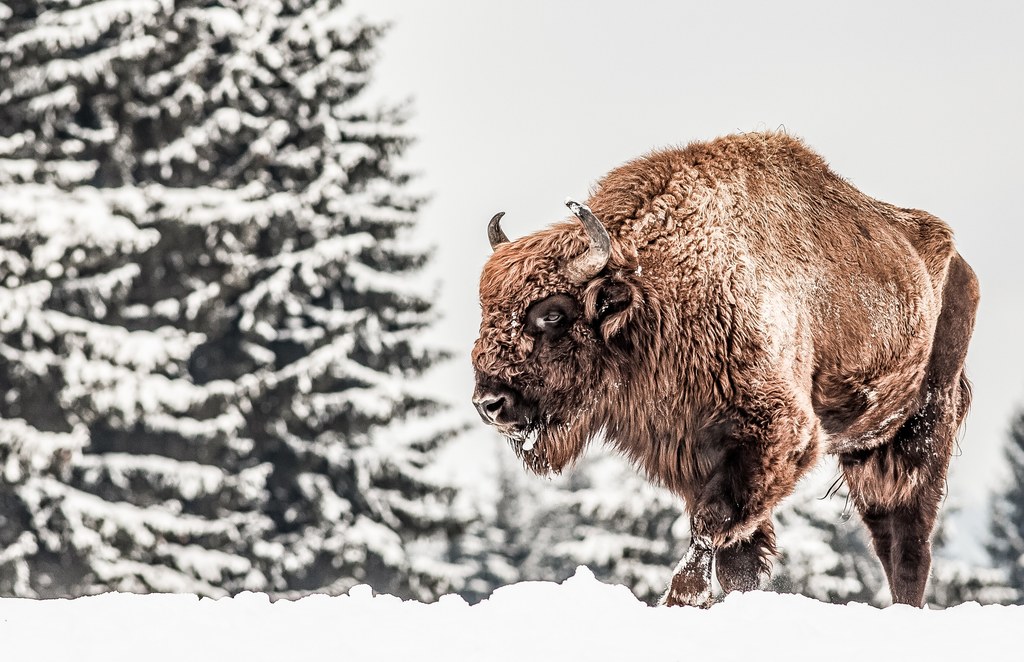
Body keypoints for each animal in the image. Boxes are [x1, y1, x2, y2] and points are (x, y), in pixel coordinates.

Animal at [475, 132, 978, 610]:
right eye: (486, 310)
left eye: (552, 314)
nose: (489, 404)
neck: (661, 289)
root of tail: (959, 264)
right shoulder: (695, 448)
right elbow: (741, 556)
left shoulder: (775, 434)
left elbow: (712, 522)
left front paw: (680, 598)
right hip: (867, 448)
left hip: (921, 429)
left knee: (908, 542)